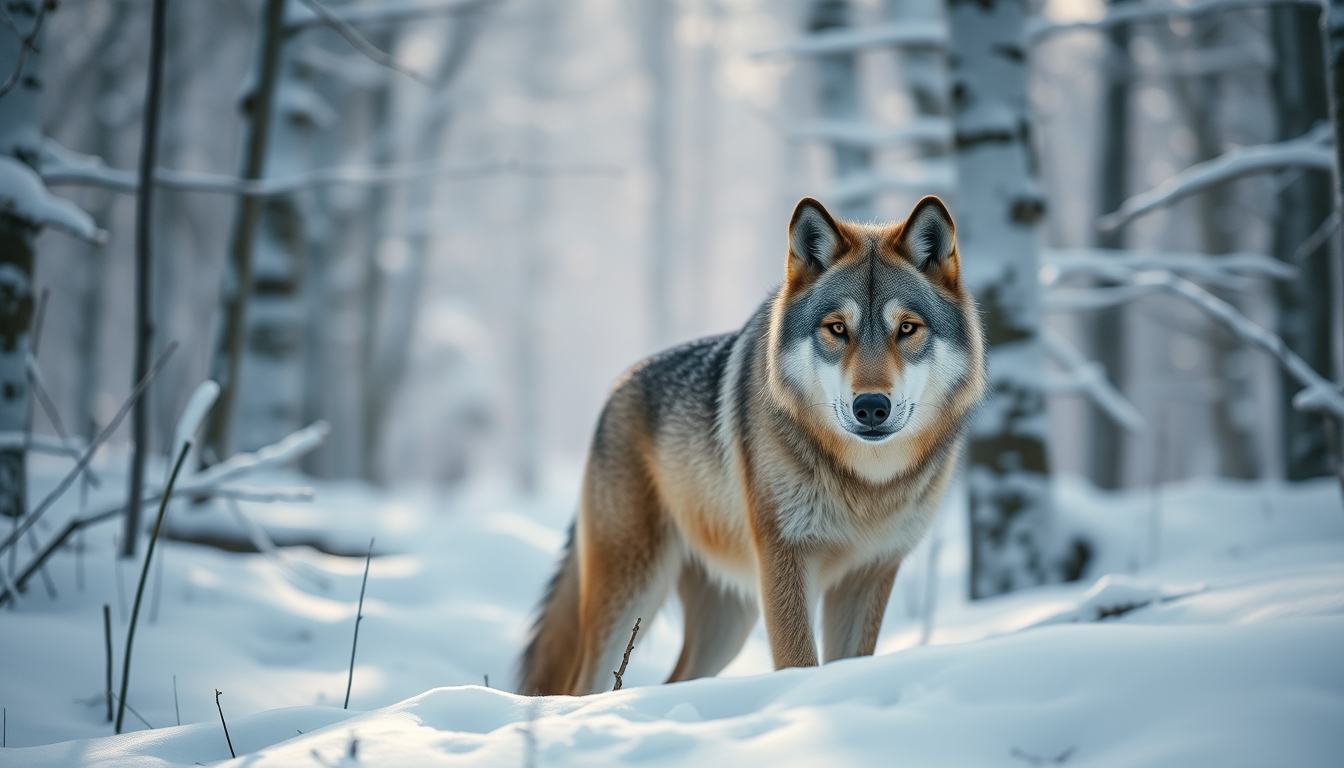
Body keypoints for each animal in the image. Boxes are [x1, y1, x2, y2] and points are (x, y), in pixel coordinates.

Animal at [518, 195, 985, 695]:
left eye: (907, 328)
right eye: (837, 329)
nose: (872, 407)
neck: (864, 482)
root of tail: (615, 391)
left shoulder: (870, 572)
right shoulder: (785, 558)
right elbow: (798, 662)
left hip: (727, 624)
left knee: (674, 680)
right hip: (631, 591)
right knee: (579, 686)